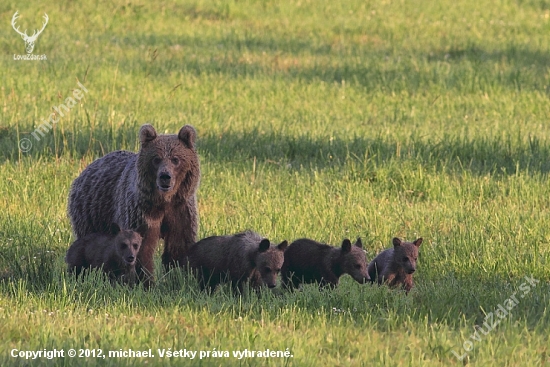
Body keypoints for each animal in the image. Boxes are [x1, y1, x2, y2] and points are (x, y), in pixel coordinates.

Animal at [67, 124, 201, 284]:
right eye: (156, 159)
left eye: (176, 159)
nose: (165, 176)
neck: (164, 201)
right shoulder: (141, 211)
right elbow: (142, 248)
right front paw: (145, 281)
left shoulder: (180, 210)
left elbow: (178, 246)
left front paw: (177, 277)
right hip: (92, 214)